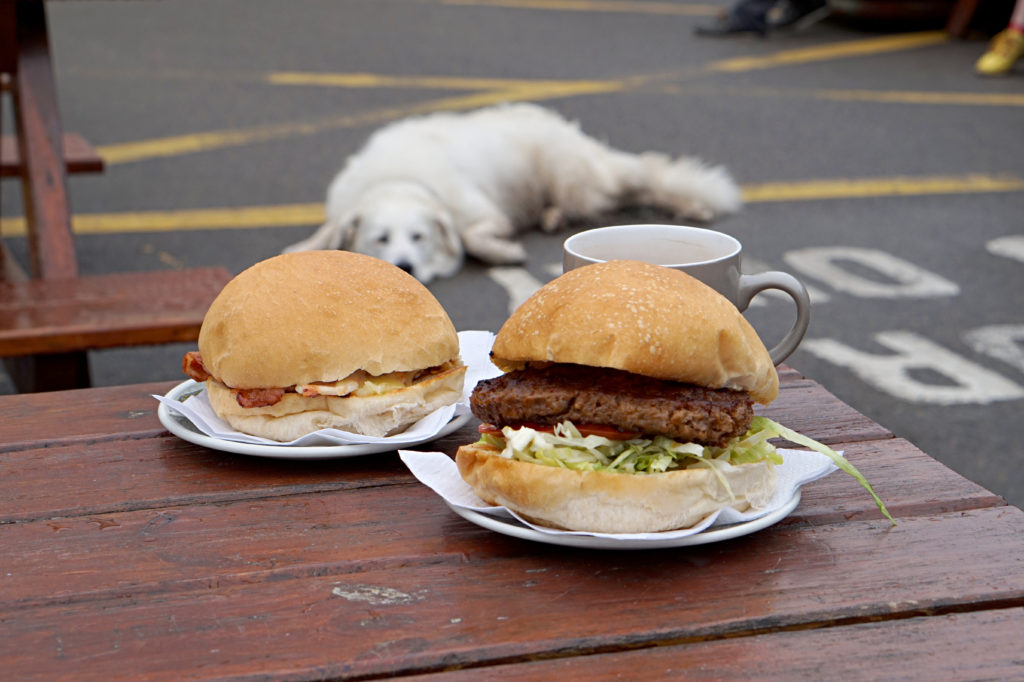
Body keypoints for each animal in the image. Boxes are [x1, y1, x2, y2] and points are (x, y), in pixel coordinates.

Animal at [284, 101, 741, 280]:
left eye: (419, 237)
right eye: (380, 239)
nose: (406, 266)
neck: (397, 178)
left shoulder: (485, 214)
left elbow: (472, 237)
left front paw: (506, 252)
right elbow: (323, 235)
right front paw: (302, 247)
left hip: (577, 179)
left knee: (640, 180)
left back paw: (691, 205)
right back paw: (551, 215)